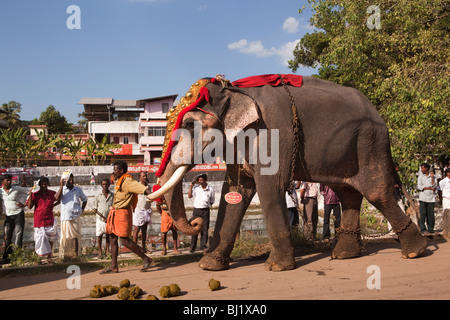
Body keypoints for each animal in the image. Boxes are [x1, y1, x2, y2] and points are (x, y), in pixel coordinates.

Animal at [149, 74, 428, 272]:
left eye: (188, 125)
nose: (196, 221)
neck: (233, 89)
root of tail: (377, 113)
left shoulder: (272, 131)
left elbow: (270, 187)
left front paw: (276, 268)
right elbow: (235, 191)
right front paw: (209, 266)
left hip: (369, 143)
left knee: (375, 192)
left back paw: (415, 251)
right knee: (348, 192)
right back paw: (343, 255)